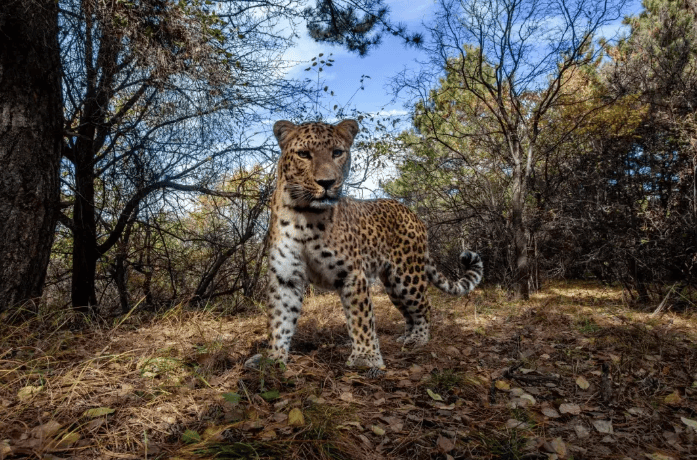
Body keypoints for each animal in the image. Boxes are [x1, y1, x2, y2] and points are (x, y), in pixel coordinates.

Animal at [246, 120, 484, 376]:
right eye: (303, 154)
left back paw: (418, 339)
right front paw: (273, 358)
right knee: (408, 312)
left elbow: (361, 318)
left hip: (407, 275)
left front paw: (366, 357)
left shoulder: (351, 274)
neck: (304, 215)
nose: (327, 183)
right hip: (392, 284)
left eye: (337, 153)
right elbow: (279, 320)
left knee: (424, 306)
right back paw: (406, 336)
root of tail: (412, 213)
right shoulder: (285, 276)